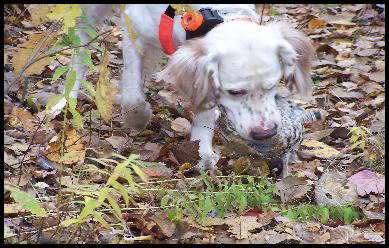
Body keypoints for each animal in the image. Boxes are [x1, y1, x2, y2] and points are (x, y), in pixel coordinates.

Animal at [53, 4, 312, 172]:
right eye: (235, 92)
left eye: (273, 85)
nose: (265, 133)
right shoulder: (134, 28)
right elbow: (133, 95)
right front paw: (138, 117)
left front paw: (203, 151)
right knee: (80, 48)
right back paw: (66, 100)